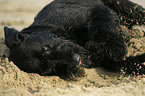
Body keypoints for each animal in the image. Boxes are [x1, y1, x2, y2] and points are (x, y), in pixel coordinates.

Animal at [3, 0, 145, 79]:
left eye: (46, 48)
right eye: (48, 69)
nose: (76, 60)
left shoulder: (98, 11)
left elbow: (99, 27)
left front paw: (117, 48)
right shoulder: (106, 61)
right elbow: (128, 63)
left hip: (126, 8)